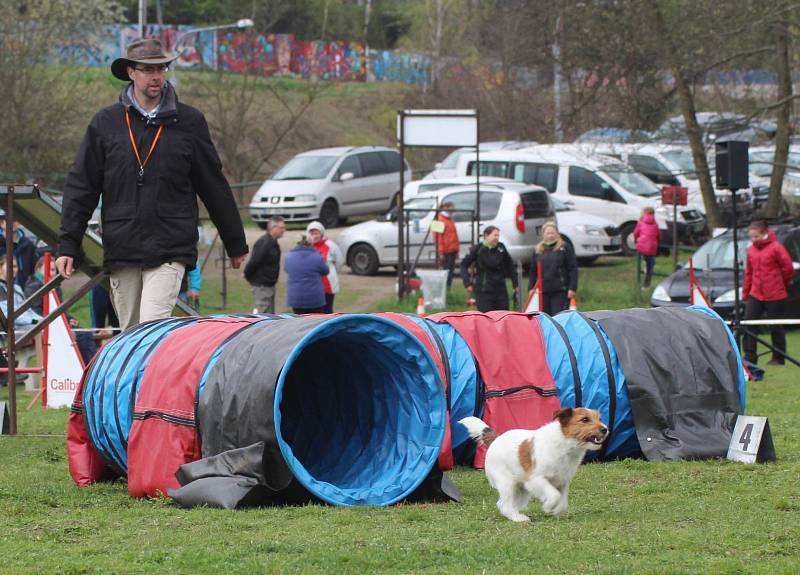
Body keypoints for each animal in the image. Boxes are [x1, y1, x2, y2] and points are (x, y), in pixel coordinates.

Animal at [462, 408, 608, 524]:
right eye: (585, 419)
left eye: (599, 418)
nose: (605, 429)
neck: (566, 444)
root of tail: (495, 439)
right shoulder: (535, 479)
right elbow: (554, 495)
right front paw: (548, 506)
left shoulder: (562, 482)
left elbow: (563, 502)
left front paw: (556, 510)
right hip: (507, 484)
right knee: (503, 504)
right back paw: (517, 518)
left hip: (521, 489)